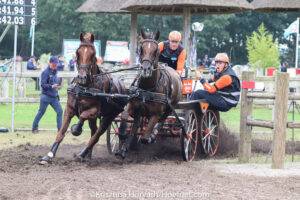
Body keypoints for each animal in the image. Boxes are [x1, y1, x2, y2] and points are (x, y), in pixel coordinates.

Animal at [39, 32, 126, 164]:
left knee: (97, 135)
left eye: (93, 53)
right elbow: (61, 132)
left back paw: (82, 154)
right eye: (78, 52)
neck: (84, 88)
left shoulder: (94, 112)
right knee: (93, 131)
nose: (82, 77)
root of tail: (123, 86)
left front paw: (76, 129)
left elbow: (82, 116)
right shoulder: (69, 109)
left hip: (110, 116)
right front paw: (49, 155)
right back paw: (87, 155)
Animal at [116, 29, 182, 158]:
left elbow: (145, 137)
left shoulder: (156, 114)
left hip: (170, 107)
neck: (147, 89)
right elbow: (125, 116)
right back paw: (125, 147)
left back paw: (152, 135)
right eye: (141, 48)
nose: (145, 69)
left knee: (163, 119)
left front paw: (150, 137)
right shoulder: (133, 106)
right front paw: (122, 135)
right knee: (136, 124)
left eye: (156, 51)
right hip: (140, 111)